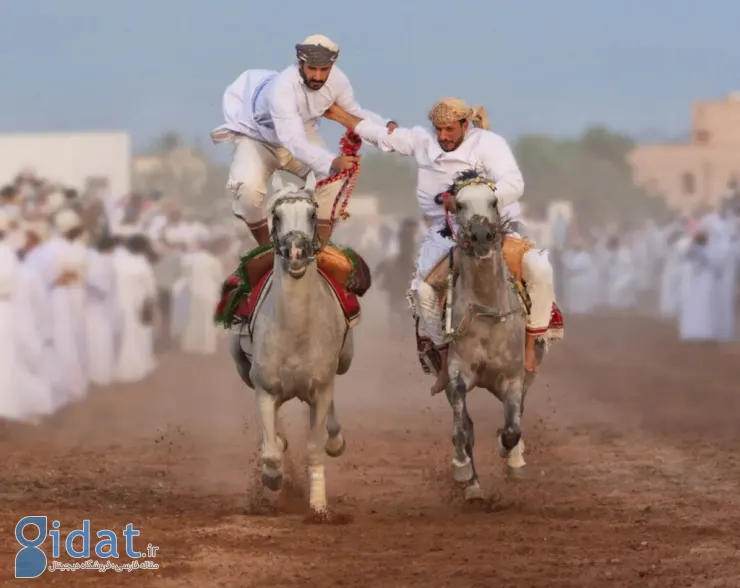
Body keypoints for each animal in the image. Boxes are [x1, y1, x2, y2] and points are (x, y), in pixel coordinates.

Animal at [231, 173, 356, 516]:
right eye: (276, 216)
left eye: (312, 215)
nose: (296, 253)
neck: (296, 333)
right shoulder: (265, 387)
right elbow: (271, 452)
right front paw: (272, 478)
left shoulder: (320, 386)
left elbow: (315, 447)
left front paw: (318, 505)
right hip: (244, 369)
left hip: (344, 361)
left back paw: (335, 439)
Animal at [440, 169, 544, 500]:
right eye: (459, 204)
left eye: (494, 201)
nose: (482, 236)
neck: (487, 311)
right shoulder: (457, 372)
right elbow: (464, 428)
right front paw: (464, 472)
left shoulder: (513, 376)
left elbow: (512, 428)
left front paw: (508, 452)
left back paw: (515, 460)